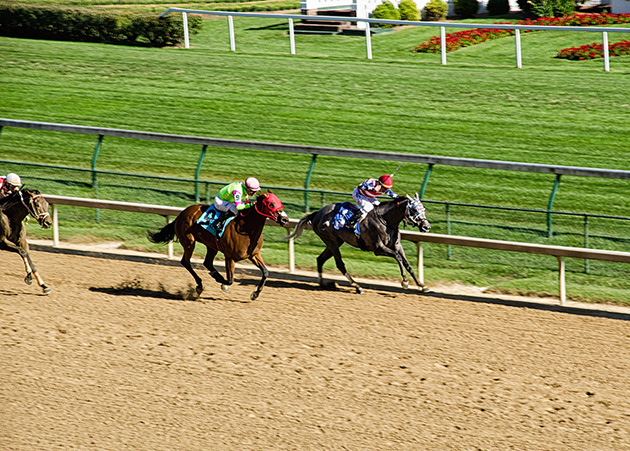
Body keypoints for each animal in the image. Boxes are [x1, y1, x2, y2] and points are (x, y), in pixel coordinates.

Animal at [148, 191, 288, 300]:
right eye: (271, 204)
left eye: (280, 202)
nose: (285, 220)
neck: (246, 229)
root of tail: (181, 214)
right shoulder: (229, 257)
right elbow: (230, 280)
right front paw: (222, 282)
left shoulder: (254, 254)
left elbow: (265, 272)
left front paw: (255, 294)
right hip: (189, 242)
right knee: (186, 261)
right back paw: (200, 285)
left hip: (212, 246)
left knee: (207, 262)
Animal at [286, 195, 430, 294]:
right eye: (414, 209)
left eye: (423, 208)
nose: (426, 227)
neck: (386, 220)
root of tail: (317, 213)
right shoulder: (378, 248)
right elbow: (398, 257)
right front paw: (405, 281)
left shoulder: (397, 246)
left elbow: (407, 263)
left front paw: (422, 285)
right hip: (331, 241)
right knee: (340, 264)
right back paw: (357, 286)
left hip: (335, 241)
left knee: (320, 259)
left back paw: (322, 283)